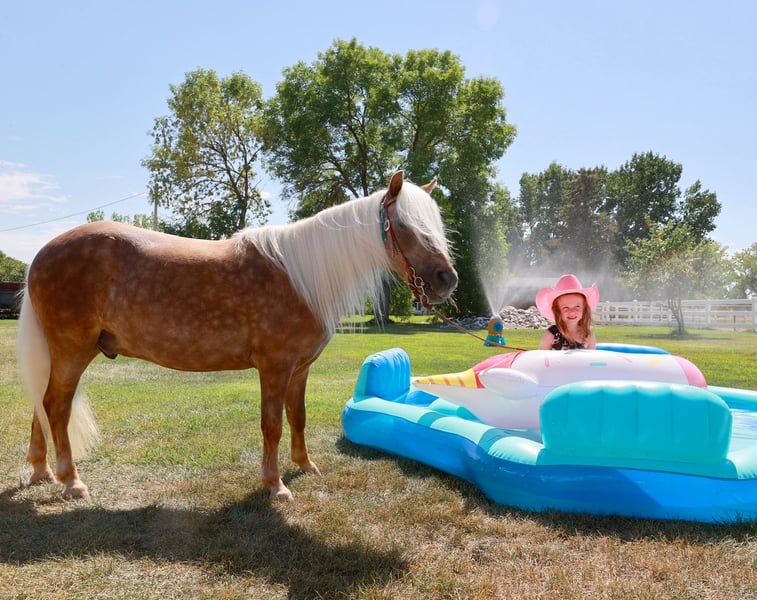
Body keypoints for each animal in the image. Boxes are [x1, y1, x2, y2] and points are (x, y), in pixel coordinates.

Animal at [15, 170, 458, 502]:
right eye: (405, 226)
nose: (447, 280)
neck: (302, 276)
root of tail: (41, 255)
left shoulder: (299, 369)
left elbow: (297, 416)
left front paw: (305, 466)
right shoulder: (275, 367)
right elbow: (272, 424)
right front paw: (275, 486)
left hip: (66, 353)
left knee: (43, 403)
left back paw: (41, 472)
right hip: (72, 350)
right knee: (55, 406)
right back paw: (72, 481)